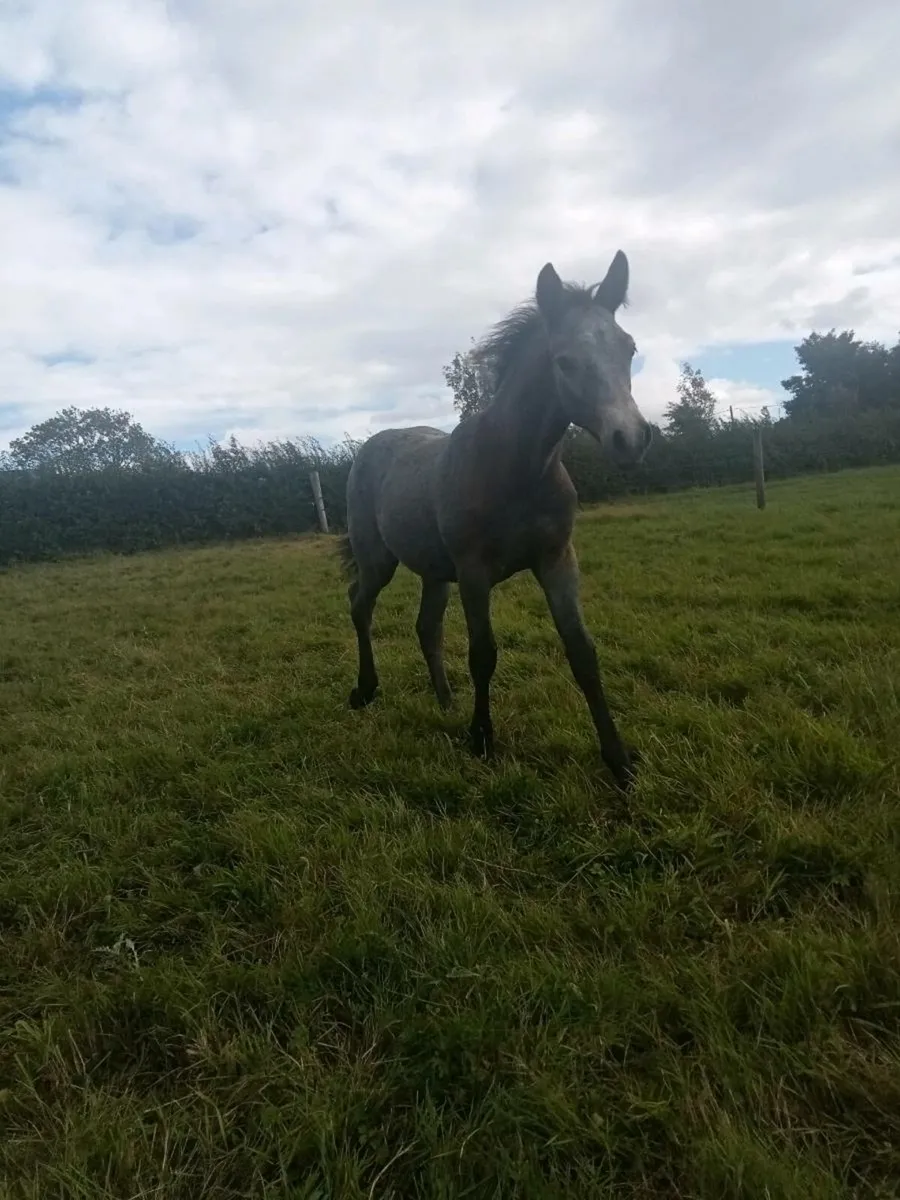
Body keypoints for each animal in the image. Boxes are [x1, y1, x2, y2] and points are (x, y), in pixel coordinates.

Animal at [338, 251, 652, 790]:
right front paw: (482, 739)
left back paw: (445, 701)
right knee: (360, 606)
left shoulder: (557, 559)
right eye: (564, 360)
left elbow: (583, 652)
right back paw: (366, 691)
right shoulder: (474, 571)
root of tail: (368, 449)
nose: (629, 438)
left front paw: (619, 762)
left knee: (427, 627)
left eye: (628, 348)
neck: (518, 468)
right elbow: (483, 653)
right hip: (379, 559)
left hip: (434, 572)